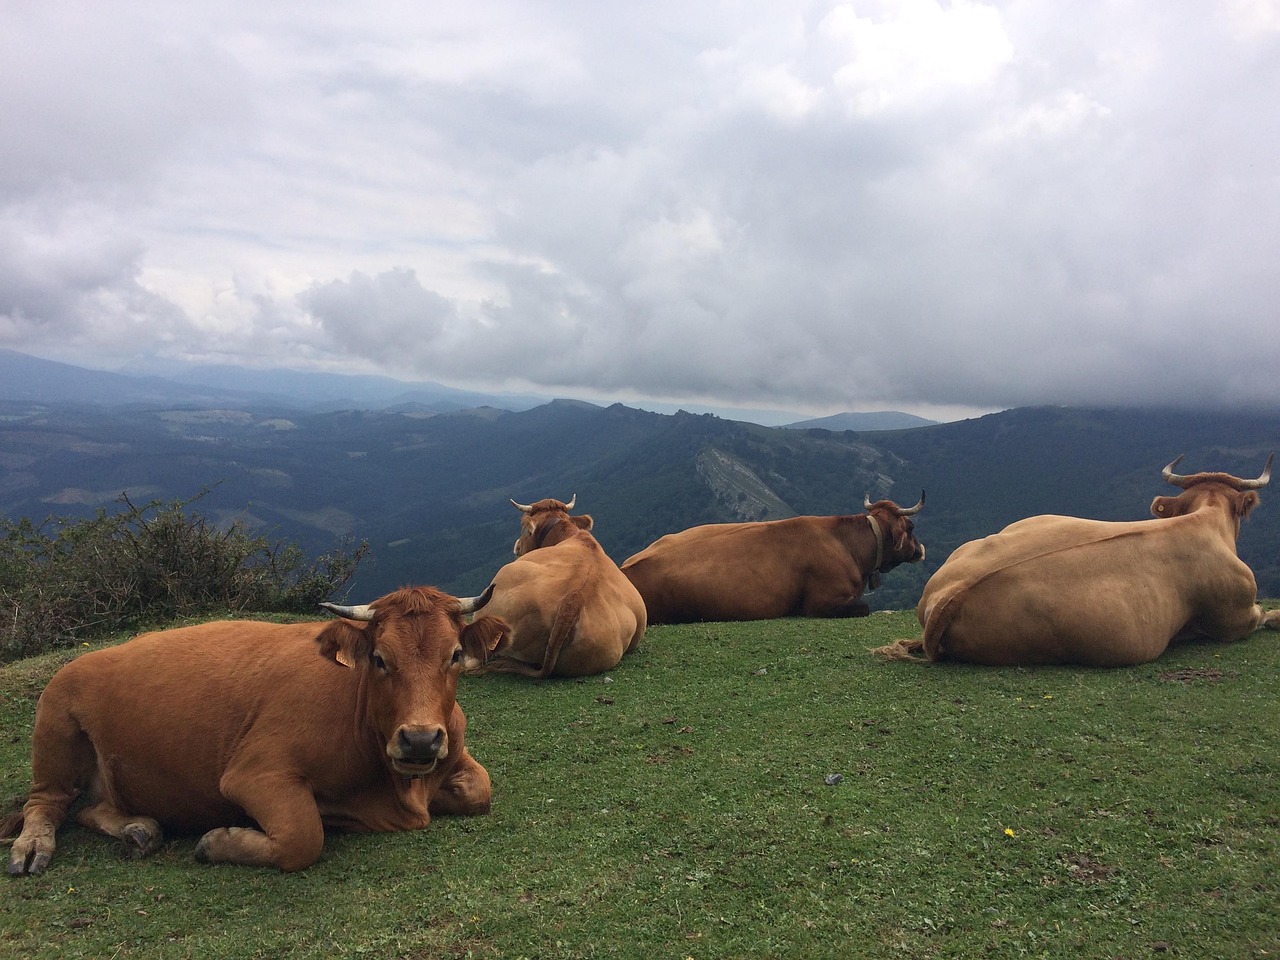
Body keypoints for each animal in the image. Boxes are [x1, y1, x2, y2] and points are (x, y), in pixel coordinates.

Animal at [1, 583, 509, 875]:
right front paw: (218, 842)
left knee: (89, 809)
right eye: (380, 659)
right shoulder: (255, 772)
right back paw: (34, 846)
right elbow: (302, 837)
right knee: (46, 802)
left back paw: (138, 829)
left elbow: (480, 790)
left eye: (455, 655)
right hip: (55, 717)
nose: (420, 739)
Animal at [616, 491, 926, 627]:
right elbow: (865, 607)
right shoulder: (823, 602)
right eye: (911, 527)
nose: (921, 549)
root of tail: (626, 569)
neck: (846, 543)